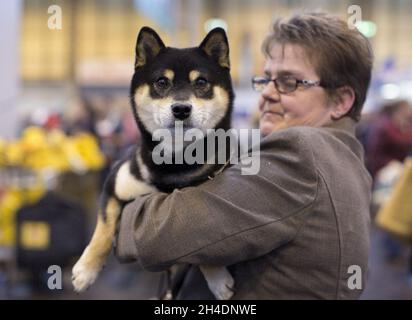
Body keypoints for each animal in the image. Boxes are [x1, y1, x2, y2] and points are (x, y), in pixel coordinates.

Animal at [71, 25, 235, 300]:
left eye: (201, 82)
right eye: (162, 82)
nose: (181, 109)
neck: (173, 162)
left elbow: (202, 247)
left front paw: (217, 277)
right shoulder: (115, 183)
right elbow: (103, 228)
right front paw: (86, 270)